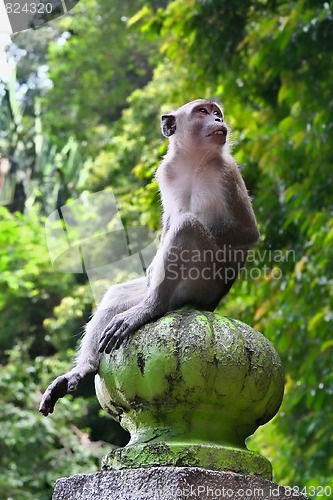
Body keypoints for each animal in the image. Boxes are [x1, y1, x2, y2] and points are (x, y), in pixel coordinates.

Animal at [38, 96, 256, 414]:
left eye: (217, 113)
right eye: (203, 112)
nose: (218, 121)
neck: (195, 160)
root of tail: (211, 304)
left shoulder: (228, 172)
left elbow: (246, 232)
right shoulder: (166, 171)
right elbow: (168, 222)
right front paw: (152, 266)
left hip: (202, 284)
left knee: (187, 227)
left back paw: (153, 307)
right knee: (118, 296)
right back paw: (84, 369)